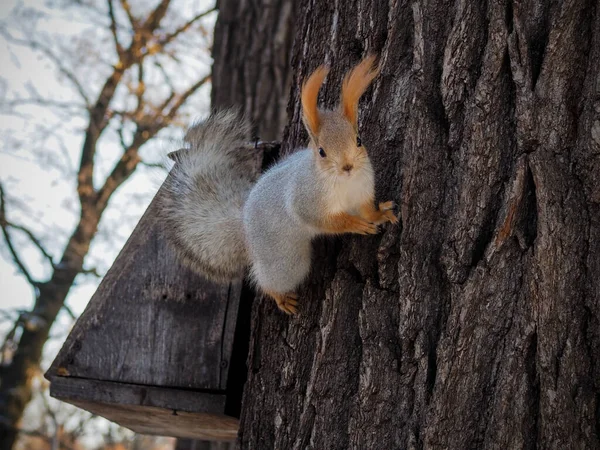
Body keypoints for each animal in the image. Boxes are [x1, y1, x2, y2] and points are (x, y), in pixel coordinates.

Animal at [158, 56, 398, 314]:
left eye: (358, 140)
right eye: (321, 151)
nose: (348, 167)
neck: (345, 183)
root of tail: (245, 224)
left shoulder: (363, 190)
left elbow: (367, 209)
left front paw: (380, 215)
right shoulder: (306, 198)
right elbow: (322, 220)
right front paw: (353, 223)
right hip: (285, 259)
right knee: (268, 279)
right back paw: (281, 298)